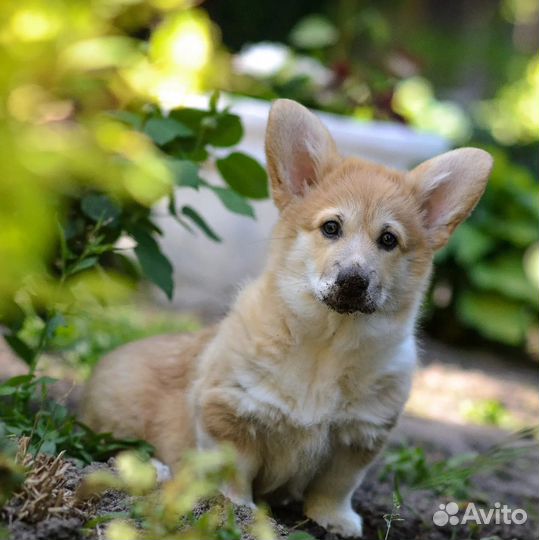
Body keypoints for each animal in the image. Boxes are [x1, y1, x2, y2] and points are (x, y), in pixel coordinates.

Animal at [83, 99, 494, 536]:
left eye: (388, 239)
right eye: (331, 227)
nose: (353, 281)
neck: (328, 344)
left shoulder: (358, 438)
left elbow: (336, 486)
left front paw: (336, 522)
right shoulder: (229, 414)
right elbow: (234, 471)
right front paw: (236, 511)